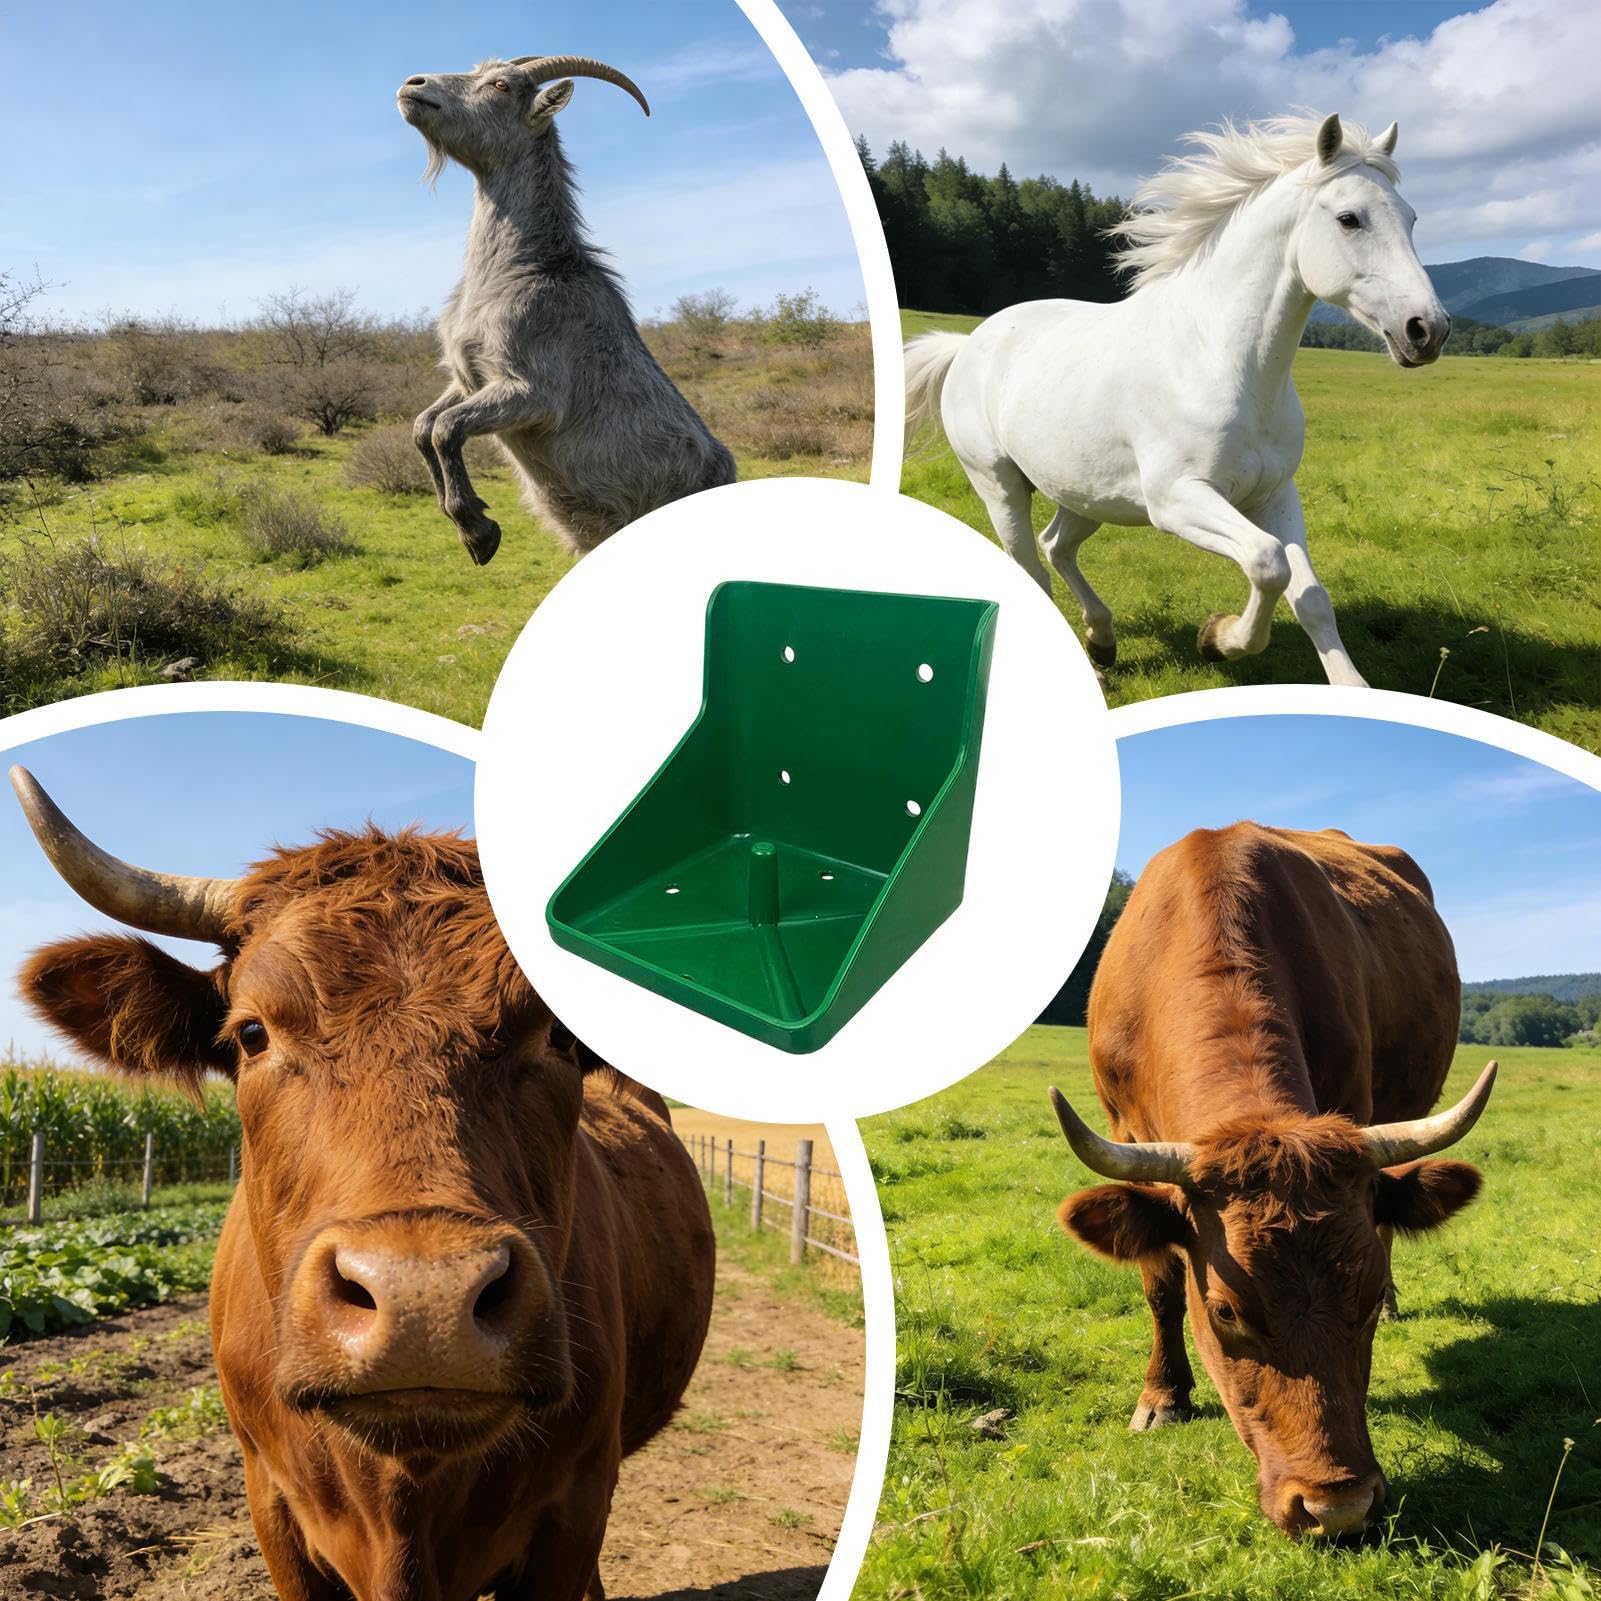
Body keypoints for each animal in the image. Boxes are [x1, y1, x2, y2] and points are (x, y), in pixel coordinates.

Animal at [397, 54, 737, 565]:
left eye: (501, 85)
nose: (412, 84)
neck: (521, 268)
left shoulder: (533, 391)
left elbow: (446, 429)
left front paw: (478, 531)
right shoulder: (468, 376)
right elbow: (424, 425)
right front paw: (466, 516)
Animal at [904, 114, 1450, 687]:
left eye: (1411, 218)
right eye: (1349, 219)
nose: (1427, 331)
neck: (1221, 362)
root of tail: (968, 344)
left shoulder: (1275, 495)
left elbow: (1311, 596)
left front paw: (1351, 687)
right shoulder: (1177, 500)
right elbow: (1267, 563)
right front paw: (1217, 640)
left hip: (1087, 493)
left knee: (1058, 547)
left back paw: (1101, 645)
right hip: (1001, 486)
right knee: (1032, 566)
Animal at [1050, 822, 1495, 1539]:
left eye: (1366, 1295)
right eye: (1226, 1311)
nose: (1337, 1508)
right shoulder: (1125, 1132)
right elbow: (1160, 1284)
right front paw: (1162, 1397)